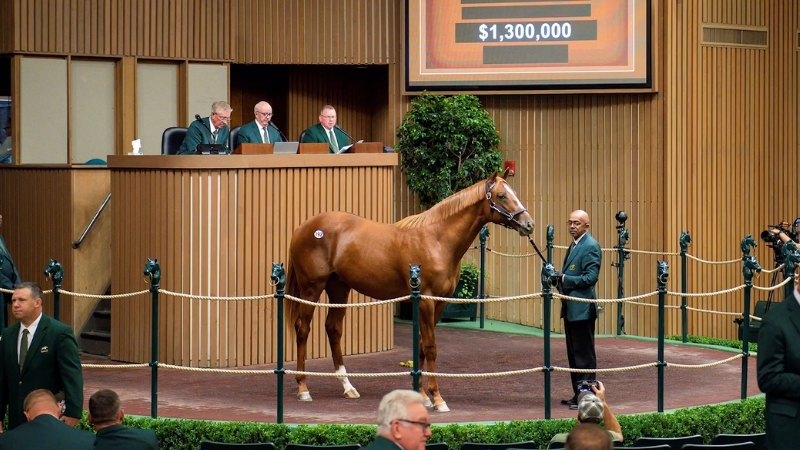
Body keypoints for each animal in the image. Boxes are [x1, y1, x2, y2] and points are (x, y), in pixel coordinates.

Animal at [284, 171, 536, 412]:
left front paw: (423, 396)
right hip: (311, 289)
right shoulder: (426, 300)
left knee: (333, 329)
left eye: (513, 193)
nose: (529, 224)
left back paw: (348, 387)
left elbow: (422, 345)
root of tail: (302, 227)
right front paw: (437, 399)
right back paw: (303, 388)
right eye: (502, 196)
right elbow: (430, 347)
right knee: (303, 329)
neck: (437, 240)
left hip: (338, 288)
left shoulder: (439, 302)